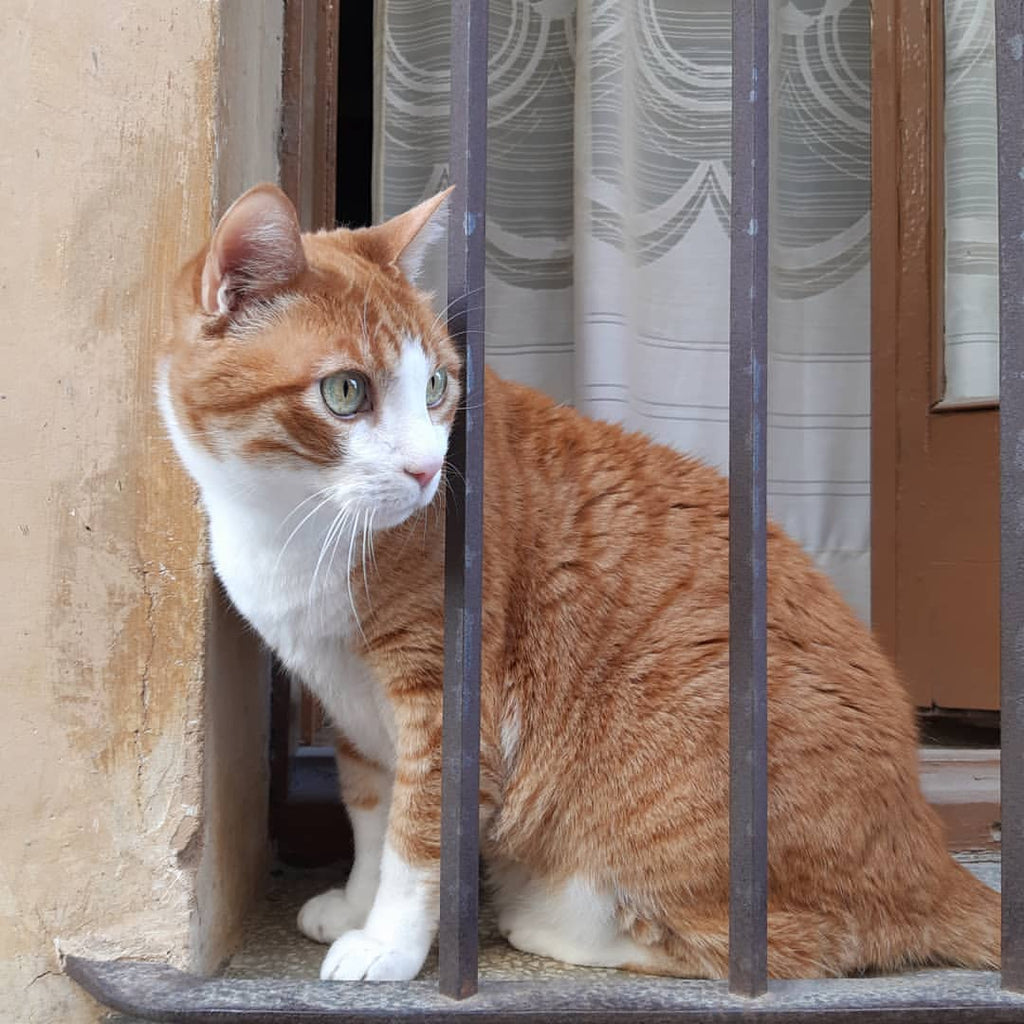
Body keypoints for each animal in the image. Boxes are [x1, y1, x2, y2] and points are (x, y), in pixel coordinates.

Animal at [159, 184, 999, 983]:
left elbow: (417, 839)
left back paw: (547, 924)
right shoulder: (353, 718)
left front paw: (389, 945)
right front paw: (357, 908)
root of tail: (932, 858)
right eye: (346, 392)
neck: (287, 523)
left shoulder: (448, 701)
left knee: (776, 944)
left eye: (435, 386)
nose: (427, 470)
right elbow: (372, 821)